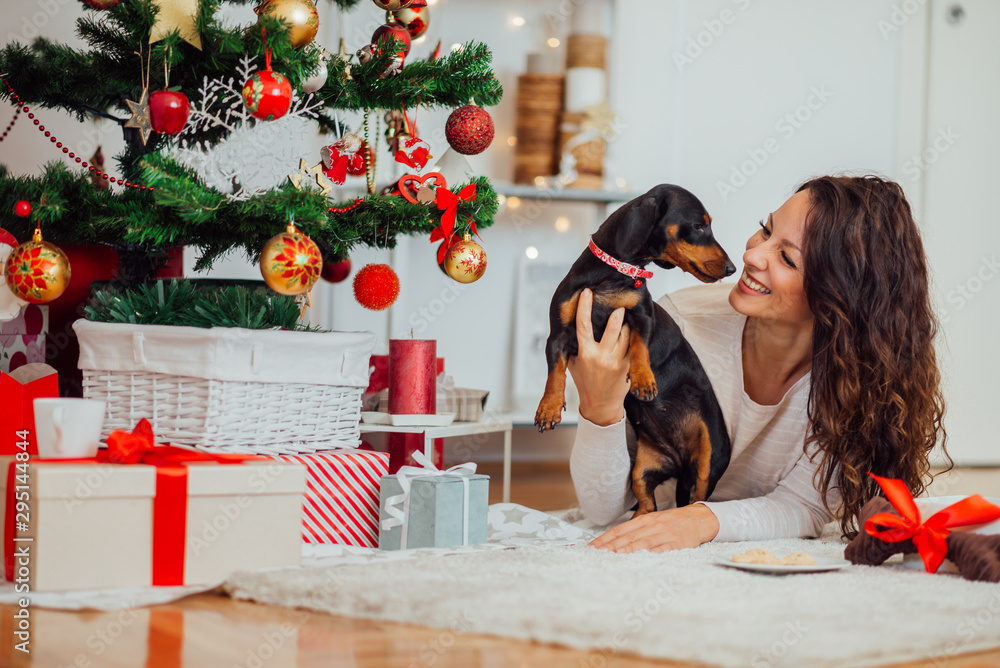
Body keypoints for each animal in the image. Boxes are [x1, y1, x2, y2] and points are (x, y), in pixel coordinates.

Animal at [536, 185, 740, 516]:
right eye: (700, 226)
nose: (732, 268)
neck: (613, 275)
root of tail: (680, 465)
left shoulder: (642, 317)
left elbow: (639, 347)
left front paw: (644, 380)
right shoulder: (557, 335)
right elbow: (555, 373)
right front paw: (549, 408)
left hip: (710, 459)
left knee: (697, 498)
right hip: (643, 468)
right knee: (647, 502)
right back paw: (638, 518)